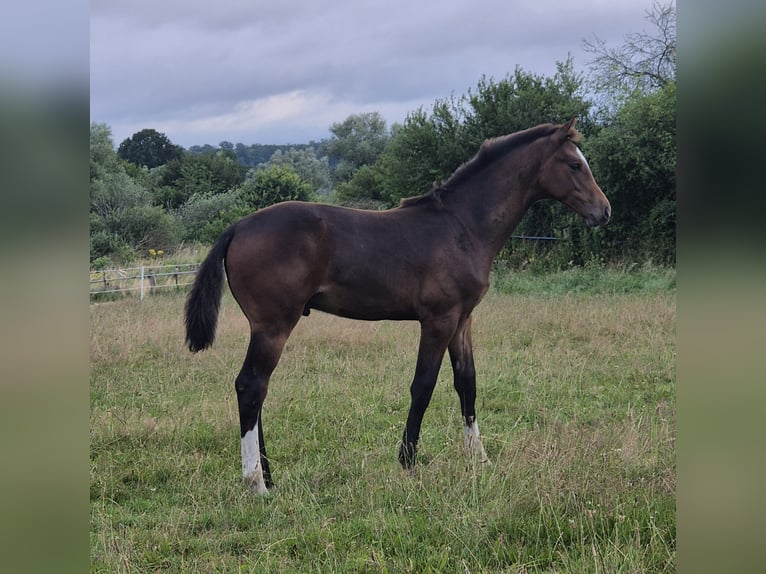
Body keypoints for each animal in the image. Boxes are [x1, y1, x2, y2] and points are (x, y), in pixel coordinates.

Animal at [186, 118, 612, 496]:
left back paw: (270, 477)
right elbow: (423, 386)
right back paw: (256, 483)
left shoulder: (462, 320)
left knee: (259, 392)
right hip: (273, 325)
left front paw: (480, 459)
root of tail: (238, 227)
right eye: (574, 164)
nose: (604, 211)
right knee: (251, 386)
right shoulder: (437, 320)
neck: (462, 226)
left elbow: (467, 384)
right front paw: (407, 462)